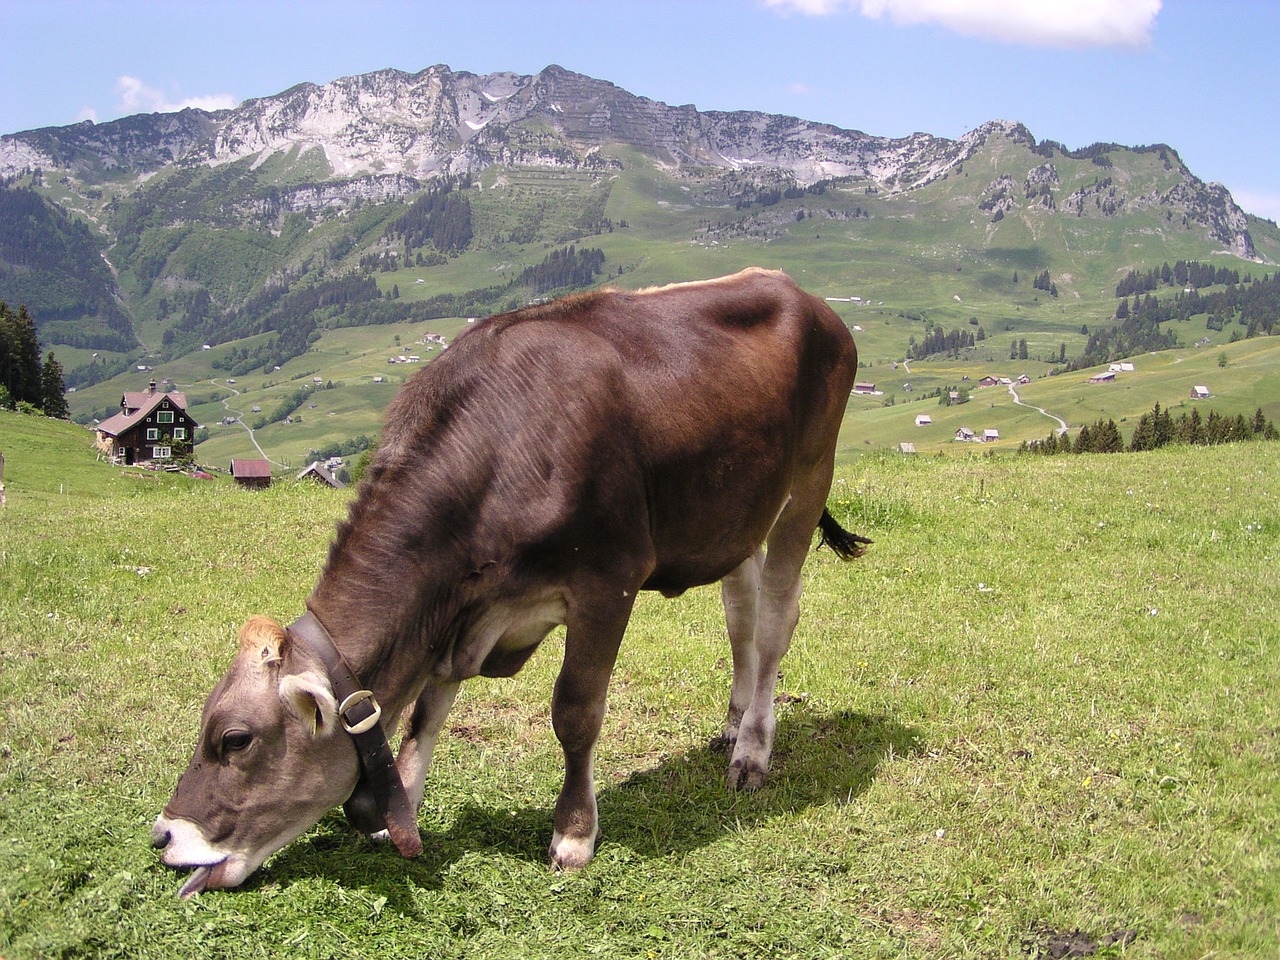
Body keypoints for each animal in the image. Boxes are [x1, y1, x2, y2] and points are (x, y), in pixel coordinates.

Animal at [154, 267, 865, 901]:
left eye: (235, 740)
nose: (164, 836)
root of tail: (796, 290)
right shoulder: (467, 612)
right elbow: (427, 711)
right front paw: (403, 802)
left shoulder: (607, 583)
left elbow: (575, 712)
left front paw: (573, 834)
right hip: (733, 514)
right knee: (741, 613)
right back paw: (733, 723)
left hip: (809, 480)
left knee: (773, 623)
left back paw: (752, 751)